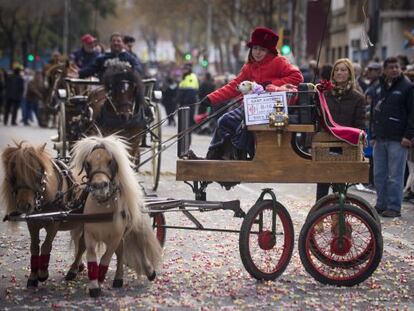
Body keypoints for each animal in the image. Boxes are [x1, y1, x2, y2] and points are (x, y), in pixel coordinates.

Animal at [1, 143, 85, 288]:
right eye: (15, 174)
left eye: (38, 173)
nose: (24, 205)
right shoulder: (32, 223)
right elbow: (34, 247)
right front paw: (33, 277)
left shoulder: (54, 222)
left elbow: (46, 245)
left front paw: (43, 273)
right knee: (77, 239)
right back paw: (79, 265)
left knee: (82, 244)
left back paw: (73, 269)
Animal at [70, 135, 163, 298]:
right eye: (88, 163)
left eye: (110, 161)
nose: (100, 186)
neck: (102, 207)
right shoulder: (90, 235)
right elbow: (91, 256)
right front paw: (94, 285)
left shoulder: (115, 237)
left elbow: (106, 258)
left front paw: (100, 280)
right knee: (86, 247)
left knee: (132, 248)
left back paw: (134, 273)